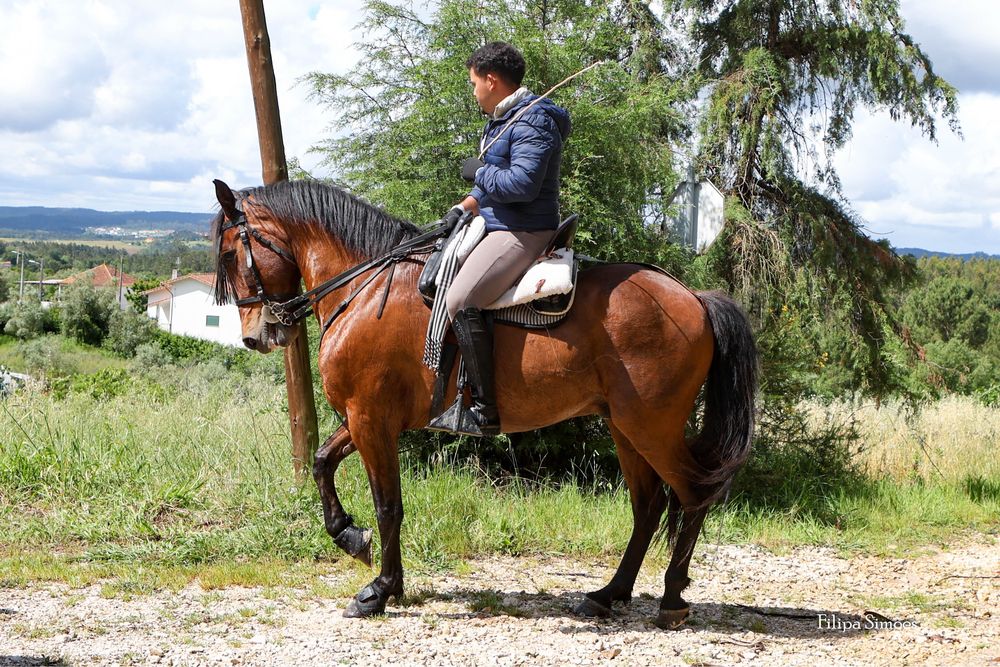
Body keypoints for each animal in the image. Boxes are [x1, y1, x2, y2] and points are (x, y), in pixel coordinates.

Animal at [210, 178, 757, 629]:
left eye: (232, 254)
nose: (256, 336)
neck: (365, 289)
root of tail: (693, 297)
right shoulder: (367, 417)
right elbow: (324, 463)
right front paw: (353, 539)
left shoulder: (370, 417)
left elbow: (388, 504)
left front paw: (378, 590)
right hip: (626, 428)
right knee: (648, 506)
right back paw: (608, 594)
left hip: (652, 426)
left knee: (692, 495)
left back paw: (672, 599)